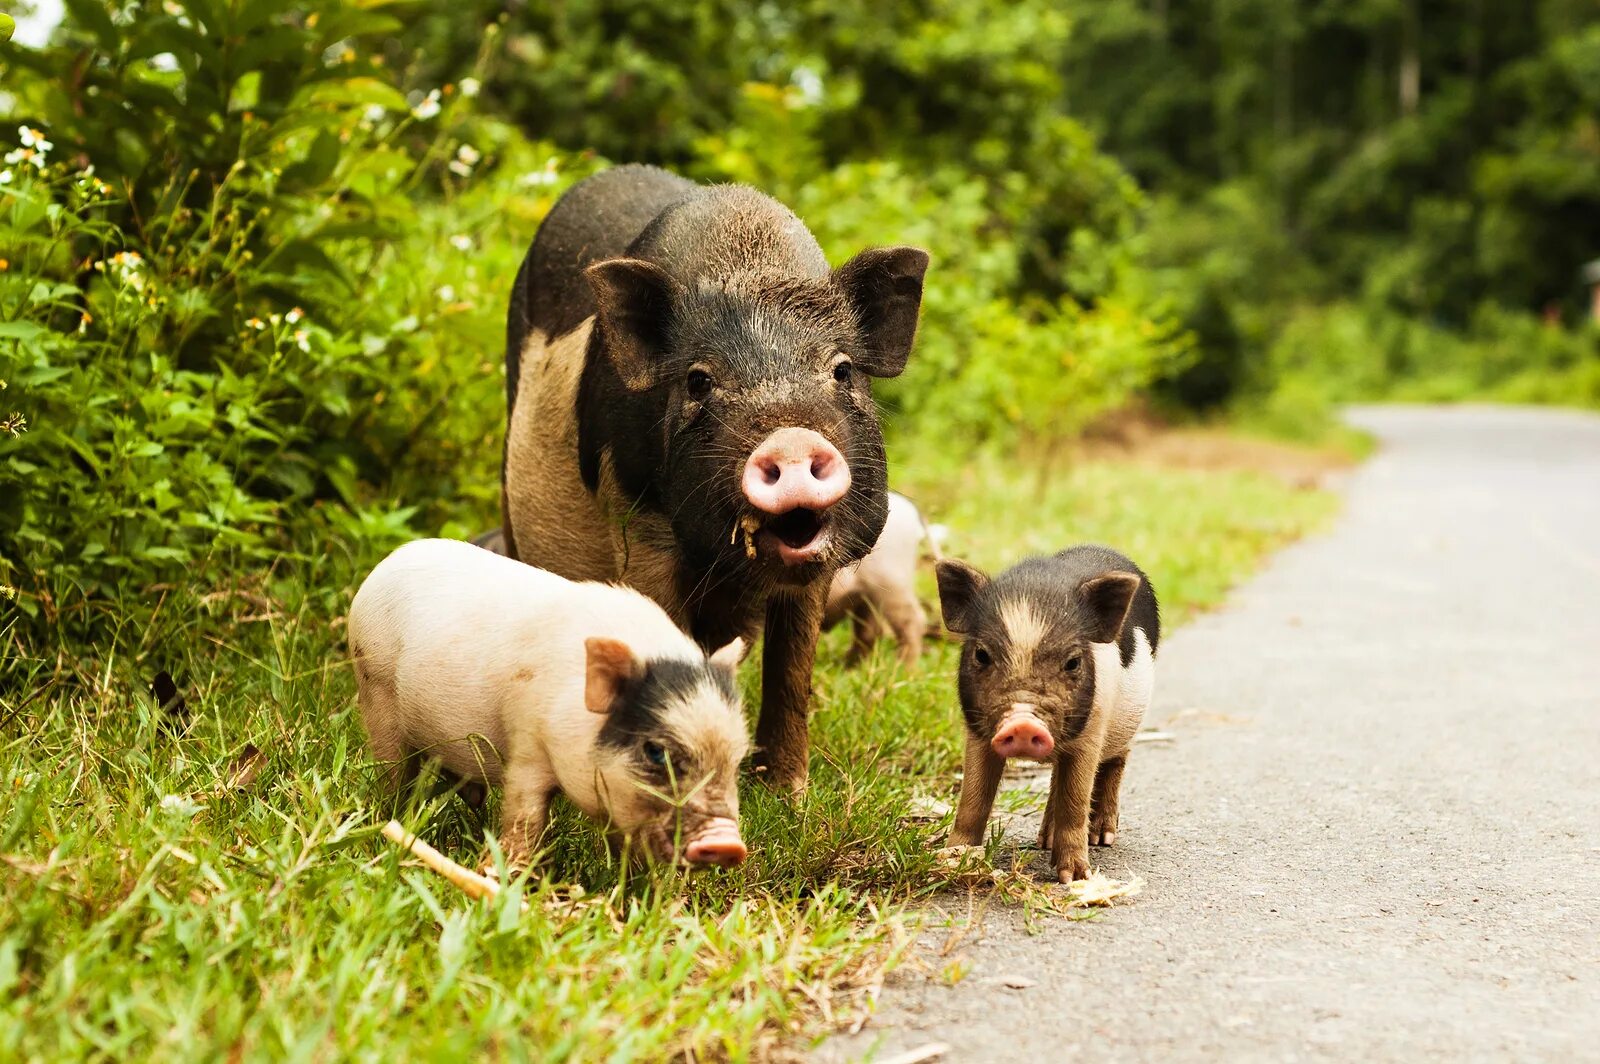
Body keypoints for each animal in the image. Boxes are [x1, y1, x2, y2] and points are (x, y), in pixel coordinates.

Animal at [496, 164, 928, 787]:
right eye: (699, 380)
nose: (791, 438)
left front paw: (788, 791)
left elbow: (792, 668)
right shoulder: (637, 522)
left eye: (843, 370)